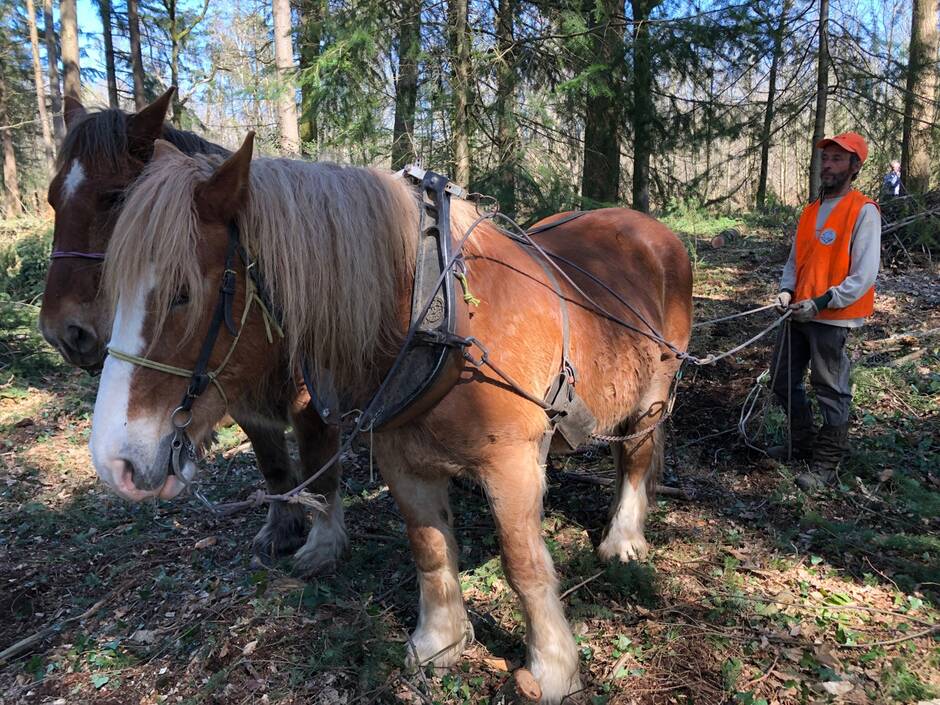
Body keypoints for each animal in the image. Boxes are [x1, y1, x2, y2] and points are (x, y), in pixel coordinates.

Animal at [38, 88, 350, 576]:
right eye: (53, 199)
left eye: (115, 198)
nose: (62, 332)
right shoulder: (236, 398)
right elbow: (273, 465)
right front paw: (282, 526)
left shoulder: (314, 402)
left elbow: (321, 469)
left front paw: (322, 544)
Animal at [90, 132, 692, 700]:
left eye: (183, 293)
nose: (116, 461)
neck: (435, 315)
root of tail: (650, 229)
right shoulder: (404, 461)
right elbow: (429, 549)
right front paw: (440, 642)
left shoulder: (513, 464)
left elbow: (524, 565)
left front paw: (552, 668)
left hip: (654, 393)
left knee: (635, 456)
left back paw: (623, 539)